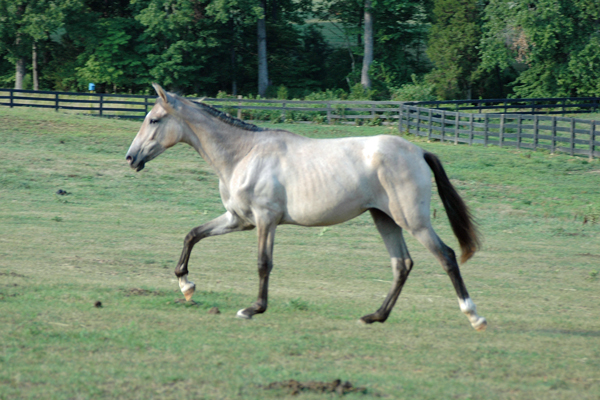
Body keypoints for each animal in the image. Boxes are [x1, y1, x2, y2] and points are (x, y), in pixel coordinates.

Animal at [126, 84, 488, 332]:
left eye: (154, 120)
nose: (131, 158)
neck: (243, 154)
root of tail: (418, 151)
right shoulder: (237, 220)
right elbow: (192, 235)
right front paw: (186, 286)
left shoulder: (265, 220)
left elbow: (263, 264)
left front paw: (253, 309)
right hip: (384, 219)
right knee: (402, 265)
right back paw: (374, 316)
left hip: (413, 220)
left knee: (446, 256)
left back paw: (474, 316)